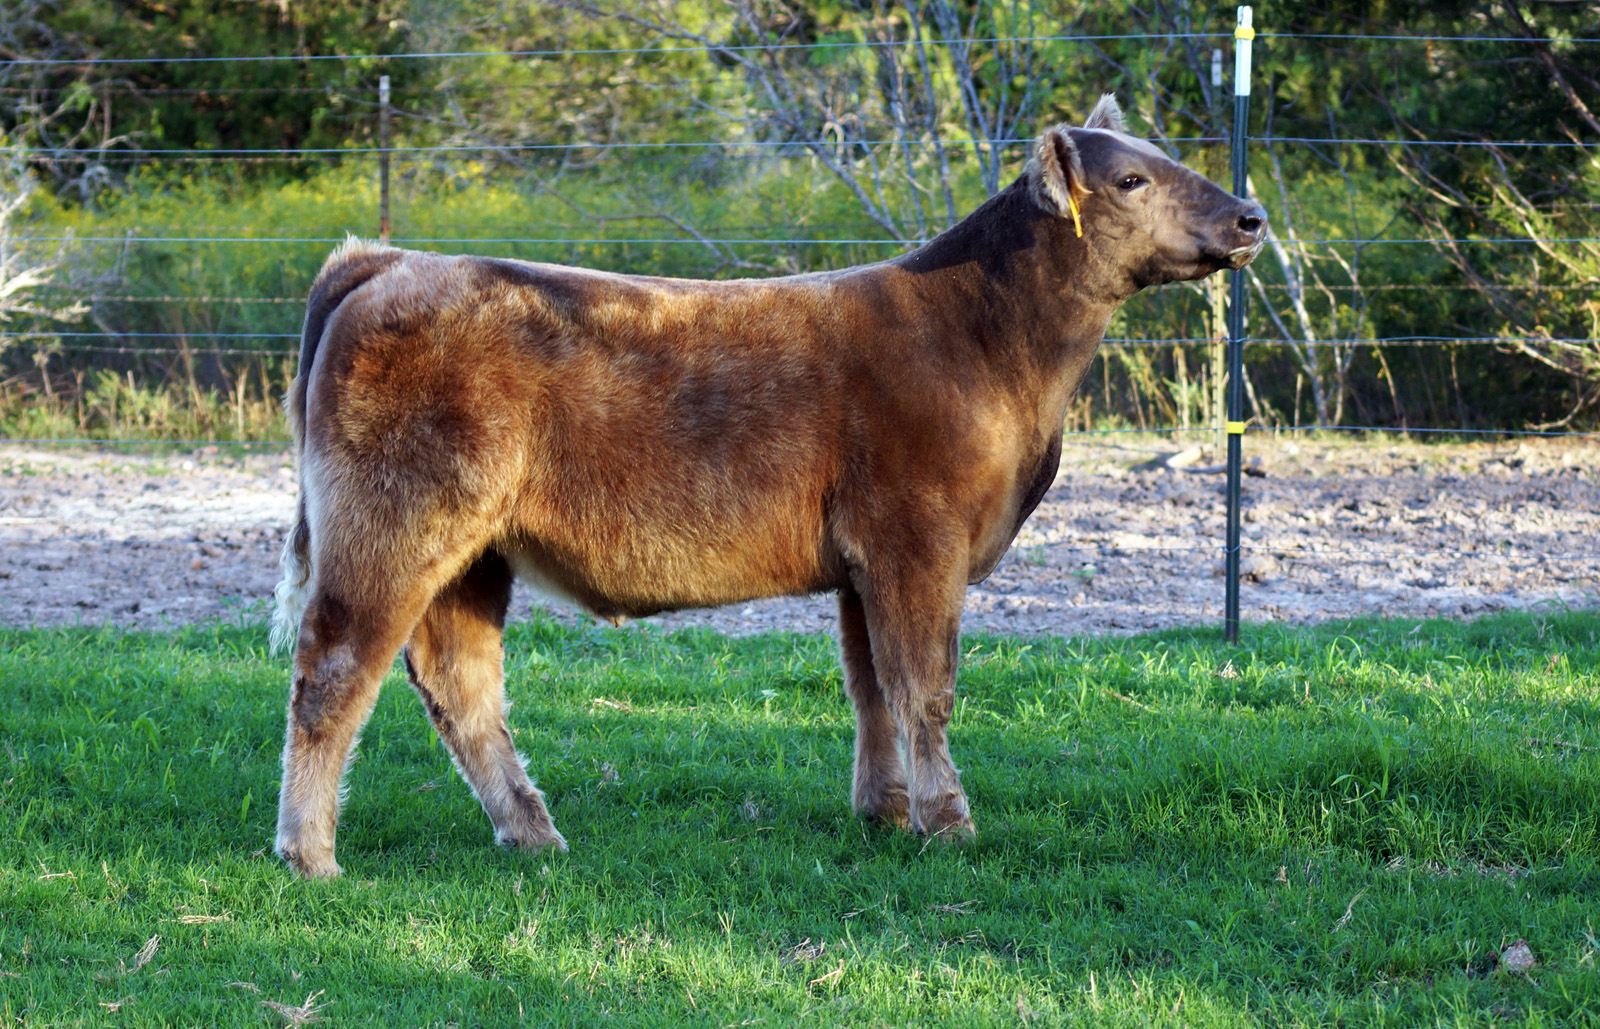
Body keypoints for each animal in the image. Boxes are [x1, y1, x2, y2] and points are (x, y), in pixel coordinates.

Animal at [269, 94, 1266, 878]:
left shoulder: (866, 563)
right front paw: (948, 823)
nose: (1251, 216)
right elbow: (925, 685)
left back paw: (534, 833)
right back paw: (310, 853)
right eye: (1131, 179)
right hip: (393, 528)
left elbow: (872, 686)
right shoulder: (918, 541)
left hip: (473, 554)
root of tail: (396, 260)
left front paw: (883, 813)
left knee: (461, 684)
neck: (989, 339)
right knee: (334, 669)